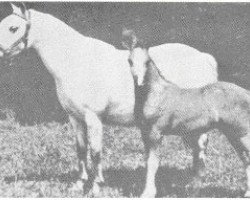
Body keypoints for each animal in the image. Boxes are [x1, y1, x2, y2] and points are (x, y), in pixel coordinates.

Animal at [0, 3, 217, 195]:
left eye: (13, 28)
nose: (0, 53)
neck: (76, 61)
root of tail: (204, 57)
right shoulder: (75, 118)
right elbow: (81, 150)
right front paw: (79, 185)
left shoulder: (93, 118)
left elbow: (96, 152)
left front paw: (96, 187)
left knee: (200, 146)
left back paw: (194, 185)